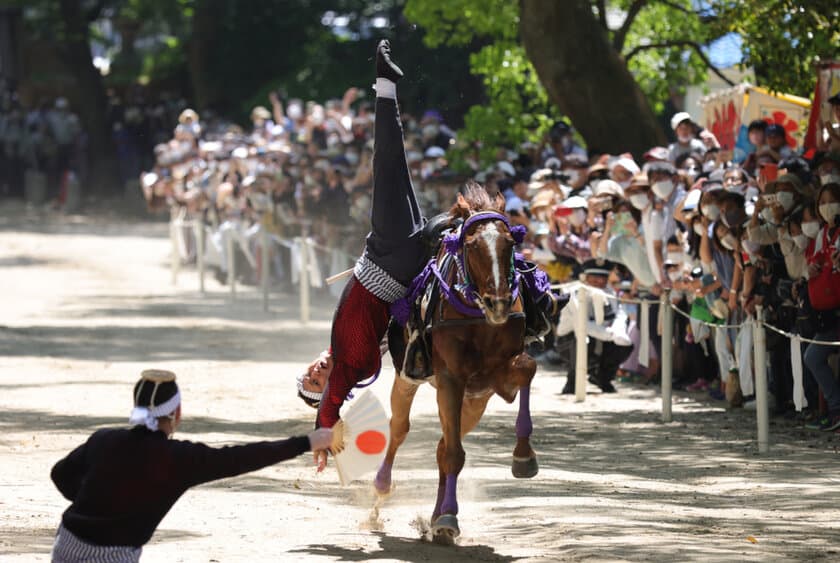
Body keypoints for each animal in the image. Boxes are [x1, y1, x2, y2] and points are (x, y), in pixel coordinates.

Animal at [374, 183, 540, 544]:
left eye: (510, 242)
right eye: (473, 244)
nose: (498, 302)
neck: (476, 313)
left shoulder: (492, 378)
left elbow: (526, 368)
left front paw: (523, 456)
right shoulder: (450, 378)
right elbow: (452, 453)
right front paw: (450, 516)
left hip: (474, 403)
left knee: (441, 445)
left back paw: (436, 518)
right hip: (410, 377)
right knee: (400, 428)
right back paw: (384, 486)